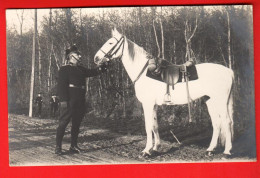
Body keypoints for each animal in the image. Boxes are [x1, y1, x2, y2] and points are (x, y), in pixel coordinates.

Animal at [93, 28, 234, 156]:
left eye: (111, 42)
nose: (96, 58)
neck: (144, 72)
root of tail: (229, 71)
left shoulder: (148, 104)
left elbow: (148, 126)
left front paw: (146, 151)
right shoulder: (153, 105)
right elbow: (155, 125)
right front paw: (155, 148)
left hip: (221, 101)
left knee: (227, 121)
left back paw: (227, 151)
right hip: (210, 100)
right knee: (217, 123)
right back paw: (210, 149)